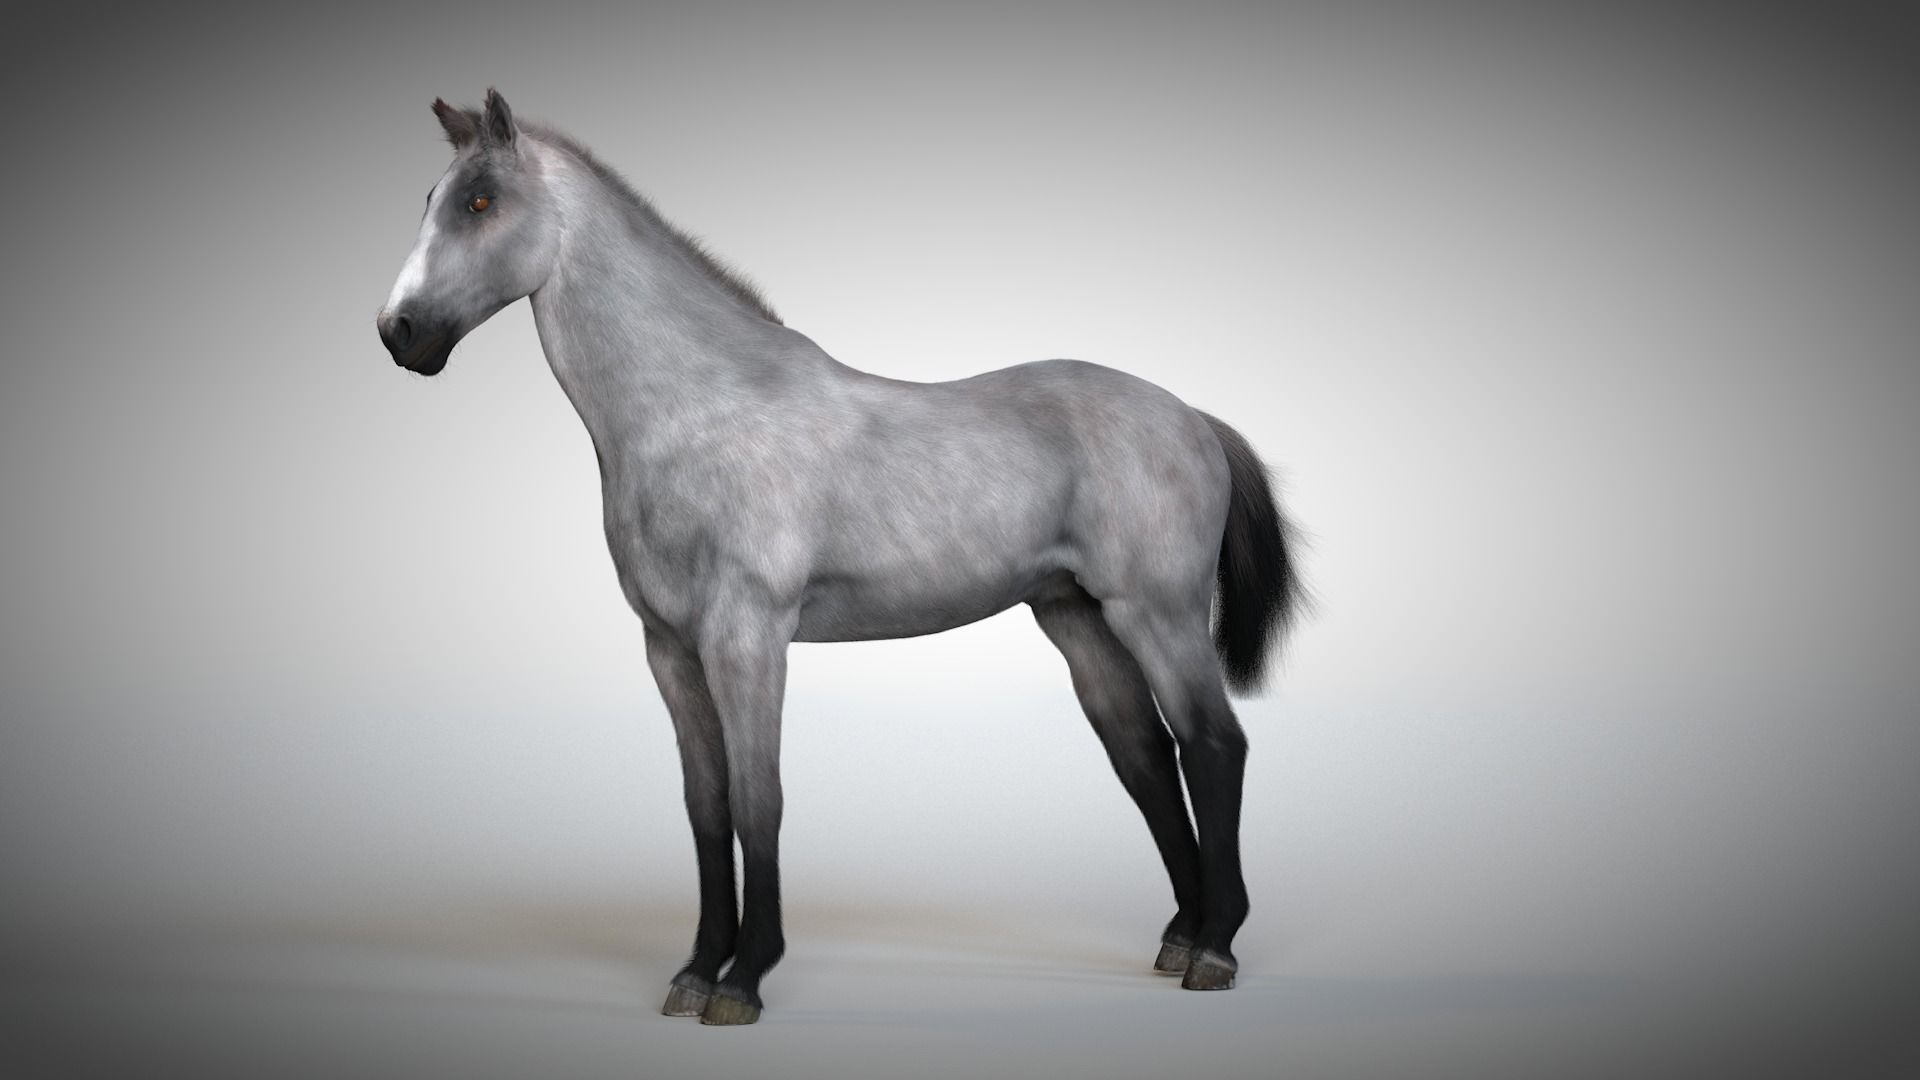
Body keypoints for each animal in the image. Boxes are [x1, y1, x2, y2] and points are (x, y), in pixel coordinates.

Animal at [377, 89, 1304, 1026]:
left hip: (1157, 614)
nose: (399, 332)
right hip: (1077, 618)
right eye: (431, 198)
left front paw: (744, 981)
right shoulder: (669, 649)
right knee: (1146, 757)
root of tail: (1192, 417)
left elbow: (760, 802)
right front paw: (695, 971)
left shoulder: (747, 640)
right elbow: (707, 808)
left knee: (1212, 746)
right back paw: (1180, 934)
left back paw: (1215, 949)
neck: (699, 413)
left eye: (481, 202)